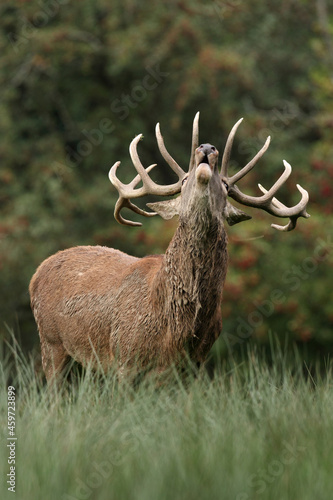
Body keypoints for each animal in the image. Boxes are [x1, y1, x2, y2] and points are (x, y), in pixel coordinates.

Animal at [29, 113, 308, 384]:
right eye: (183, 180)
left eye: (226, 186)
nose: (206, 148)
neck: (175, 328)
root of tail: (36, 274)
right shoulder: (124, 357)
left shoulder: (193, 365)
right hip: (51, 342)